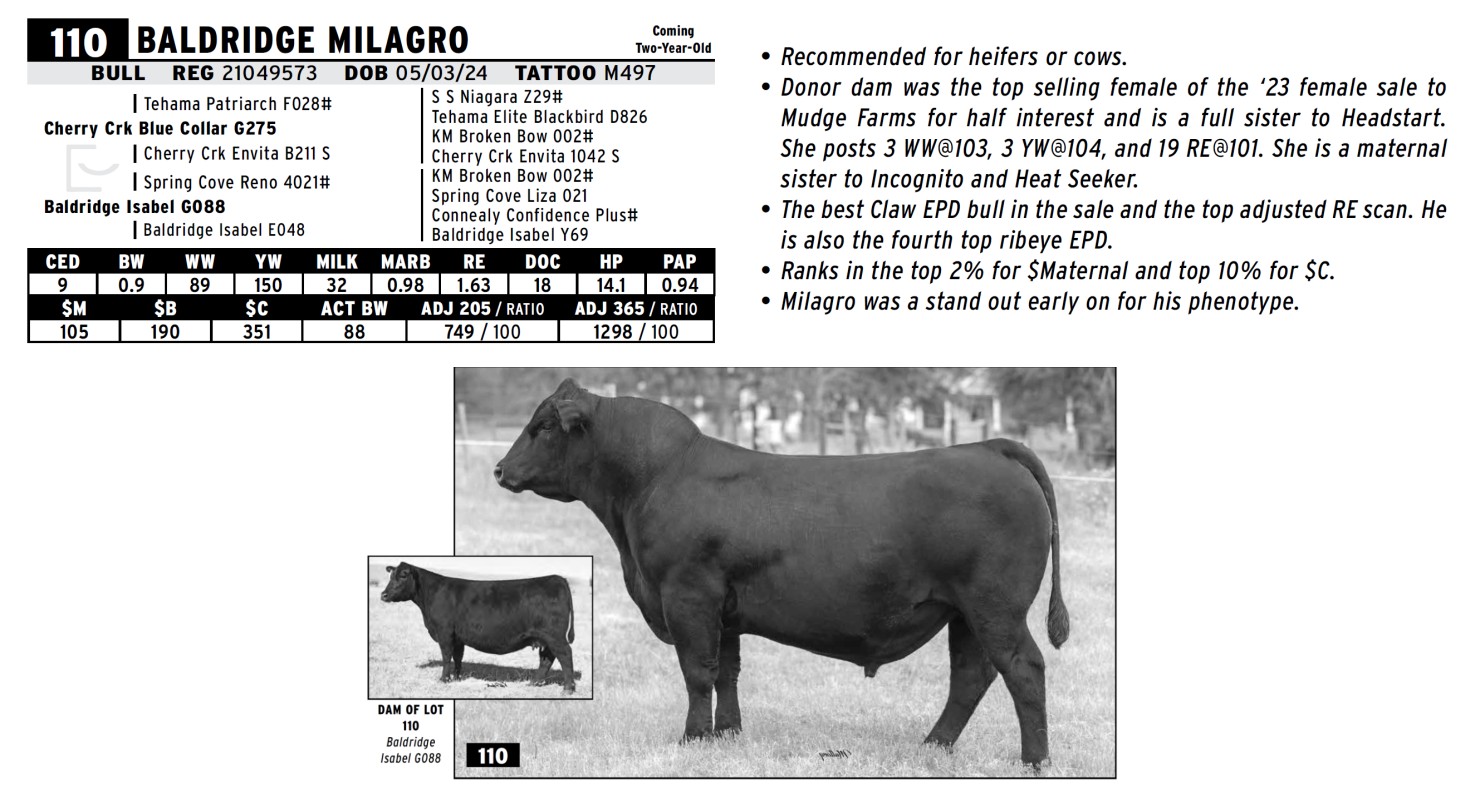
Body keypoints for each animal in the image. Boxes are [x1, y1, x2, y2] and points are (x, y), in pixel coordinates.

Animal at [380, 563, 577, 693]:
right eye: (391, 576)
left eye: (403, 575)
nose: (384, 595)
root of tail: (558, 578)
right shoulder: (457, 636)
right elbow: (457, 657)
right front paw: (457, 678)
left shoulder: (444, 632)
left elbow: (446, 656)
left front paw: (444, 679)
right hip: (545, 637)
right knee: (547, 658)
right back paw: (534, 683)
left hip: (555, 636)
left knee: (565, 654)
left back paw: (568, 688)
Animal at [494, 379, 1070, 766]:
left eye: (544, 427)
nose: (500, 469)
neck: (652, 482)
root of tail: (990, 447)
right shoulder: (722, 607)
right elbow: (725, 671)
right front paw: (726, 735)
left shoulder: (688, 595)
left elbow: (696, 671)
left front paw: (692, 738)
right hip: (965, 614)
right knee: (971, 676)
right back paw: (932, 747)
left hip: (995, 607)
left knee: (1023, 669)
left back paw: (1034, 761)